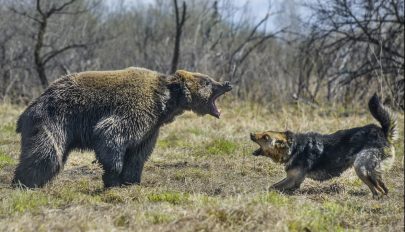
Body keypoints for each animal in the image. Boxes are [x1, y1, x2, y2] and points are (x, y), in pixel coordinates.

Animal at [12, 67, 232, 188]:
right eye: (207, 81)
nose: (227, 83)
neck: (165, 102)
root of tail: (30, 106)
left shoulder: (152, 127)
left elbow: (138, 153)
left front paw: (132, 180)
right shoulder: (136, 108)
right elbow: (111, 133)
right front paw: (112, 177)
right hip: (54, 119)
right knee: (46, 154)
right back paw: (25, 182)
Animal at [251, 94, 396, 198]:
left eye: (265, 137)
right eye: (263, 133)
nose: (251, 134)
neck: (294, 148)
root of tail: (382, 132)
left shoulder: (293, 180)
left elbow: (272, 187)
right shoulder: (291, 178)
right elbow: (273, 186)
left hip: (360, 167)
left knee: (378, 189)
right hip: (368, 170)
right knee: (383, 188)